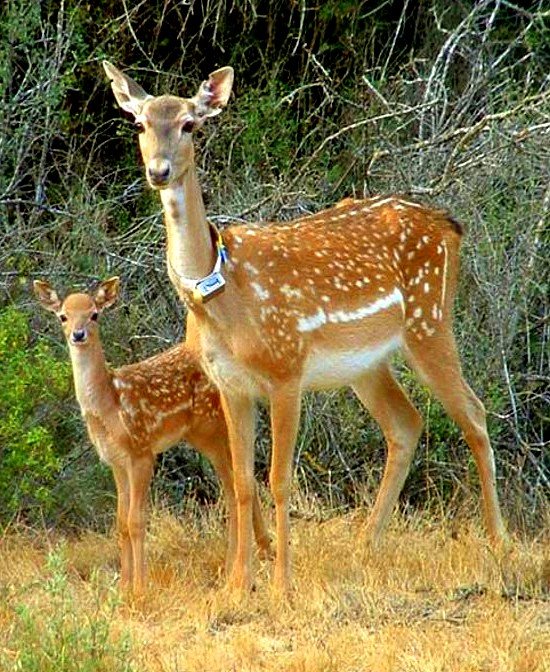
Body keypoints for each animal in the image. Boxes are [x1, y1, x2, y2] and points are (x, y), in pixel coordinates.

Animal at [33, 277, 271, 597]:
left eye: (94, 314)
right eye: (63, 316)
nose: (78, 334)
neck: (110, 406)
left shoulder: (141, 451)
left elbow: (136, 520)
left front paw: (140, 587)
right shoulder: (115, 461)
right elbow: (120, 522)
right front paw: (123, 586)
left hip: (213, 428)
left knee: (236, 488)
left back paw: (239, 567)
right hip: (205, 435)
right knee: (239, 485)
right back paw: (251, 559)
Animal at [103, 62, 507, 596]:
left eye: (190, 124)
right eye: (140, 123)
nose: (159, 170)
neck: (222, 295)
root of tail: (449, 226)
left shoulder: (285, 368)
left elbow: (278, 478)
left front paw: (281, 582)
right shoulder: (230, 385)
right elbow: (241, 481)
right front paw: (237, 583)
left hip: (430, 319)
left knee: (475, 414)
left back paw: (499, 543)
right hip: (367, 363)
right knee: (406, 423)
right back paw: (363, 545)